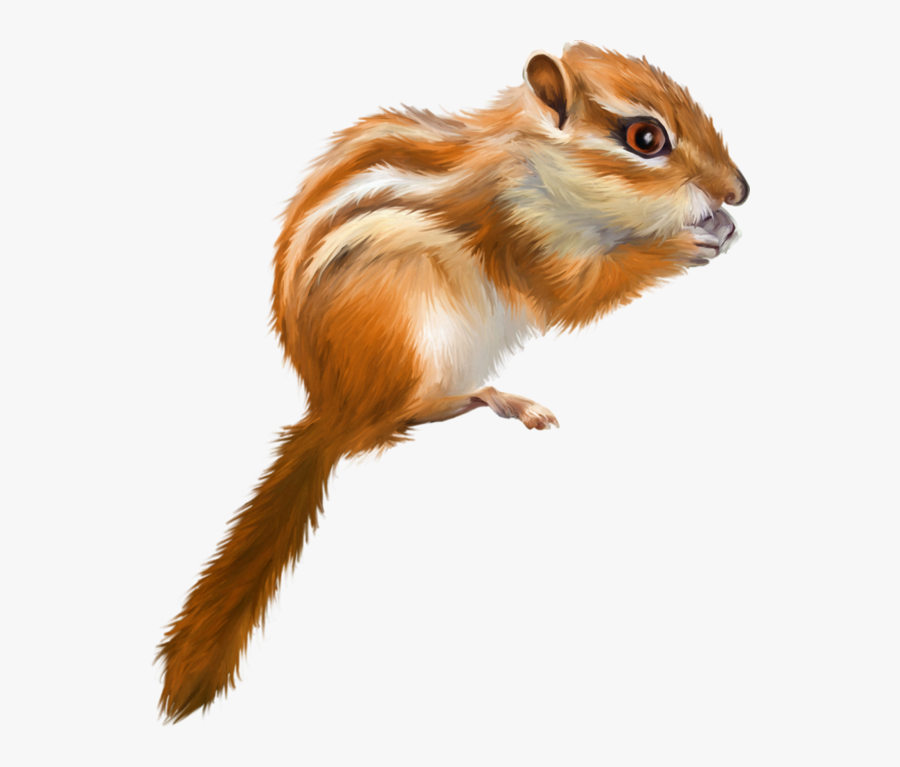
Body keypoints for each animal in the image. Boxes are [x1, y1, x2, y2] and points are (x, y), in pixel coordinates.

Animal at [156, 41, 748, 722]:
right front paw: (687, 242)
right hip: (420, 333)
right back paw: (498, 397)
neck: (531, 165)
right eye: (646, 138)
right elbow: (578, 293)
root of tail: (331, 404)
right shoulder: (524, 237)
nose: (741, 191)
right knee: (390, 424)